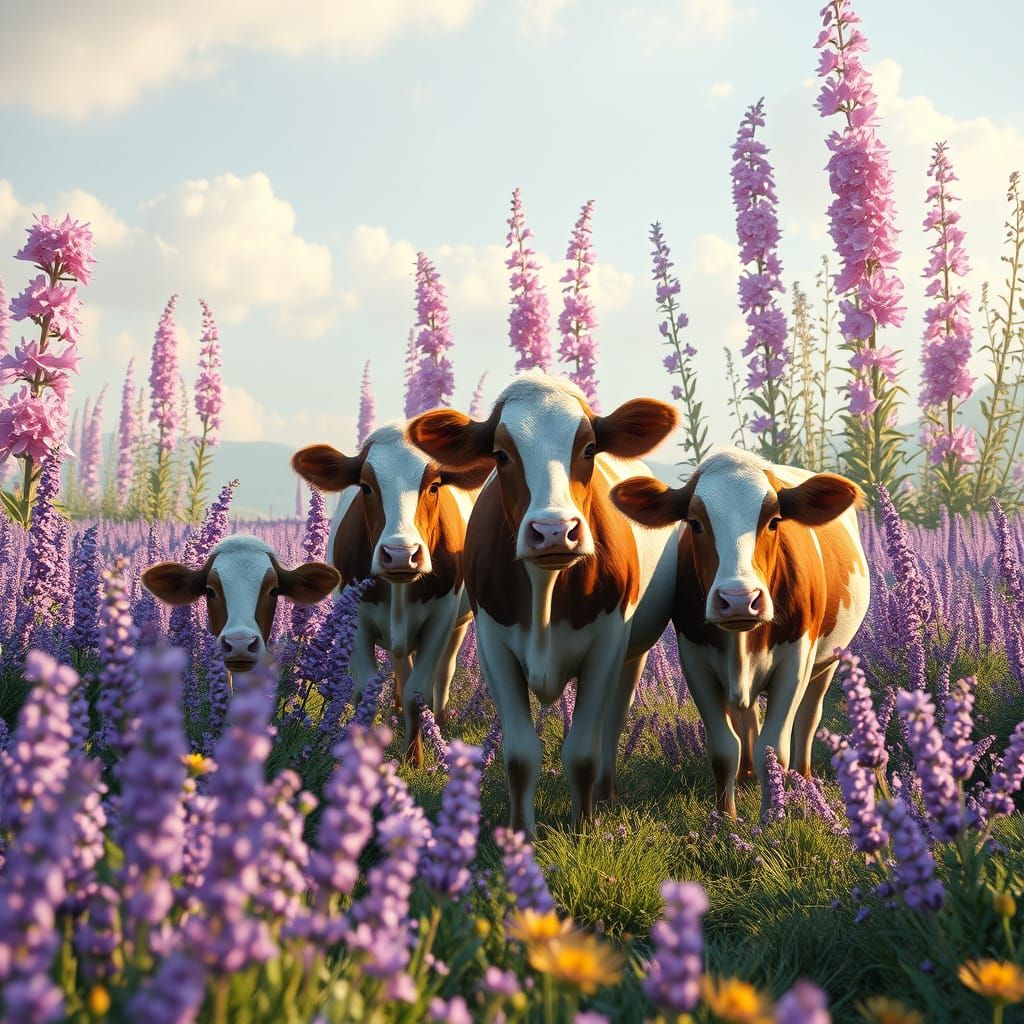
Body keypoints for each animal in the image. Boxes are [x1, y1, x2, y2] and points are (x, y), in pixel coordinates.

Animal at [290, 422, 490, 763]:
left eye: (434, 485)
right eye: (366, 486)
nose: (400, 554)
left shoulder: (440, 620)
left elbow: (417, 692)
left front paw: (414, 760)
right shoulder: (354, 619)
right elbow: (365, 693)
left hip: (458, 627)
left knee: (442, 676)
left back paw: (439, 723)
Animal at [408, 372, 681, 834]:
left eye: (588, 448)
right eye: (501, 454)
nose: (554, 531)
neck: (545, 592)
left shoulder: (607, 647)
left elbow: (583, 752)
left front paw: (584, 828)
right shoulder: (494, 648)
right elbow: (520, 755)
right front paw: (521, 833)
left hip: (635, 654)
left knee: (614, 722)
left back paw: (606, 795)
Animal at [610, 447, 870, 819]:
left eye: (774, 521)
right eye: (695, 523)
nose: (738, 599)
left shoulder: (796, 662)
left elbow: (773, 750)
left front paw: (772, 816)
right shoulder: (696, 663)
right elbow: (723, 749)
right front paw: (725, 818)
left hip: (826, 663)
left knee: (808, 719)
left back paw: (804, 782)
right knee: (747, 717)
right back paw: (747, 775)